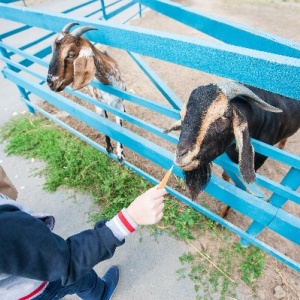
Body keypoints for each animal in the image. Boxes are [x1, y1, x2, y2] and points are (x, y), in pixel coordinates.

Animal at [47, 22, 126, 162]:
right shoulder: (99, 105)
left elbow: (119, 128)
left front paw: (120, 155)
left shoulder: (119, 105)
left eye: (70, 54)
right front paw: (108, 148)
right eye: (53, 50)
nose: (50, 83)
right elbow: (104, 124)